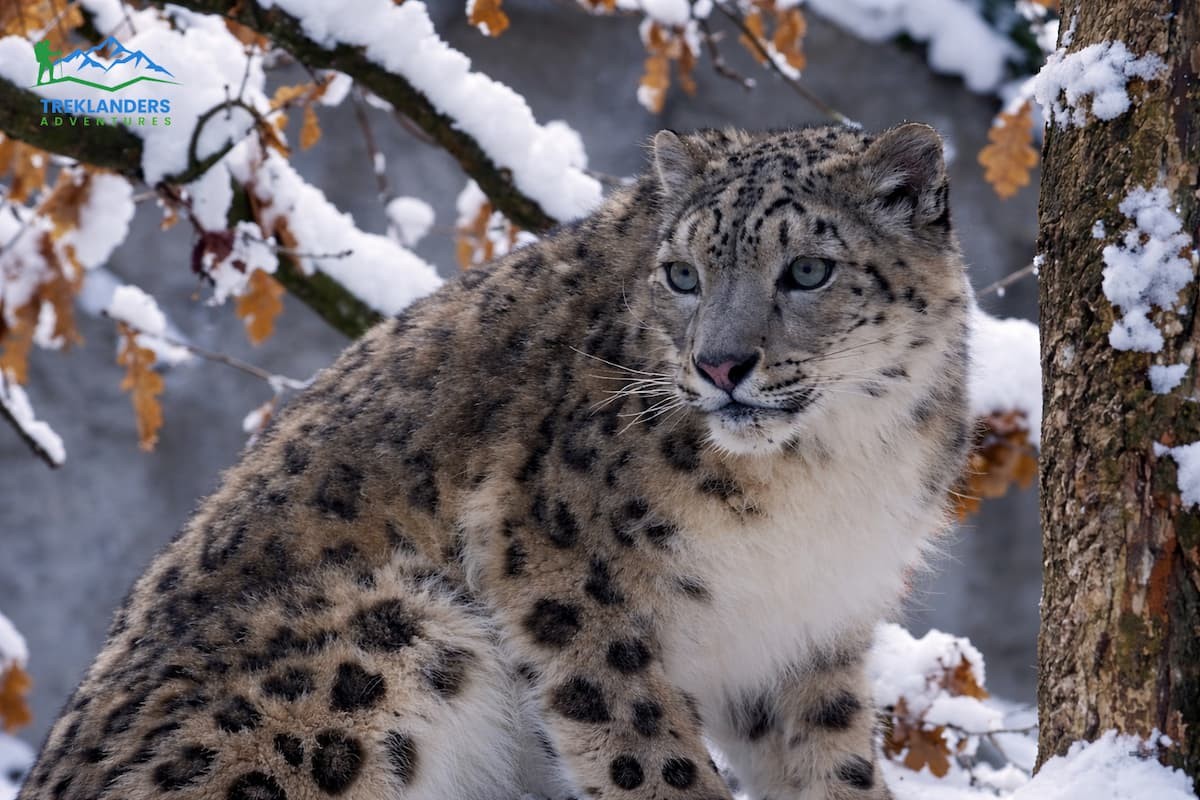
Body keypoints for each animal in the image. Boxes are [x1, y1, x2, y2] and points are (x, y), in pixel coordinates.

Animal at [19, 123, 972, 800]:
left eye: (808, 269)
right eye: (683, 274)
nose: (720, 365)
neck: (824, 478)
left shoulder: (809, 637)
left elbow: (833, 763)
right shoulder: (562, 574)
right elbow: (647, 754)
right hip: (387, 628)